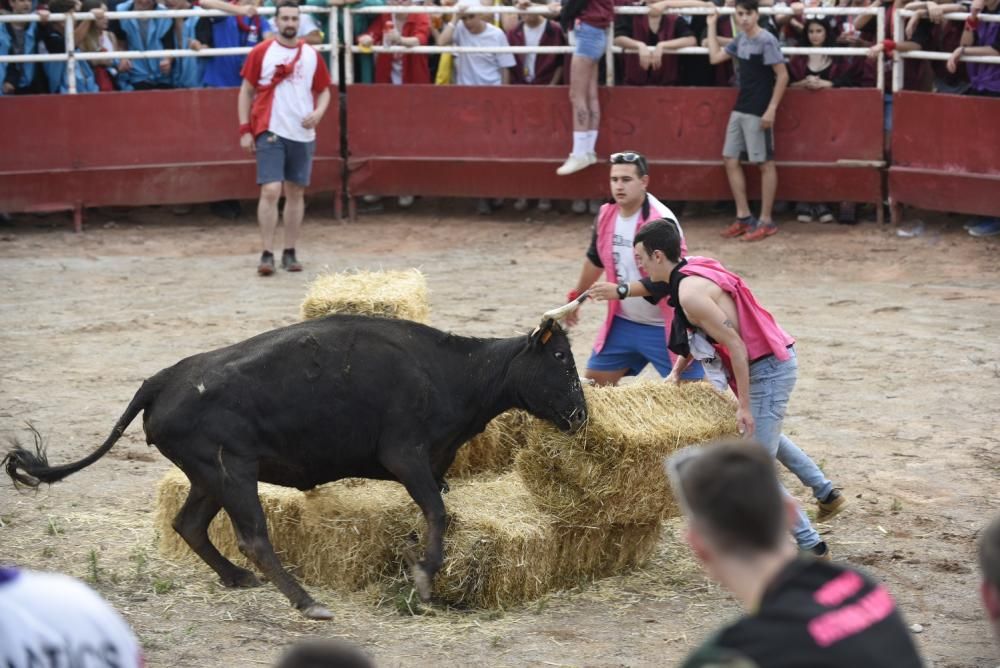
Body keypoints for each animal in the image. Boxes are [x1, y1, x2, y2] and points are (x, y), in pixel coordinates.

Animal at [1, 316, 584, 620]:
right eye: (559, 360)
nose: (582, 414)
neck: (453, 371)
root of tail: (162, 379)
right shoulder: (407, 457)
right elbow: (437, 514)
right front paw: (423, 577)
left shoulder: (431, 466)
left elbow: (440, 515)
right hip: (232, 472)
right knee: (254, 537)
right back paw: (307, 602)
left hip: (210, 476)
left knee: (189, 524)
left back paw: (236, 578)